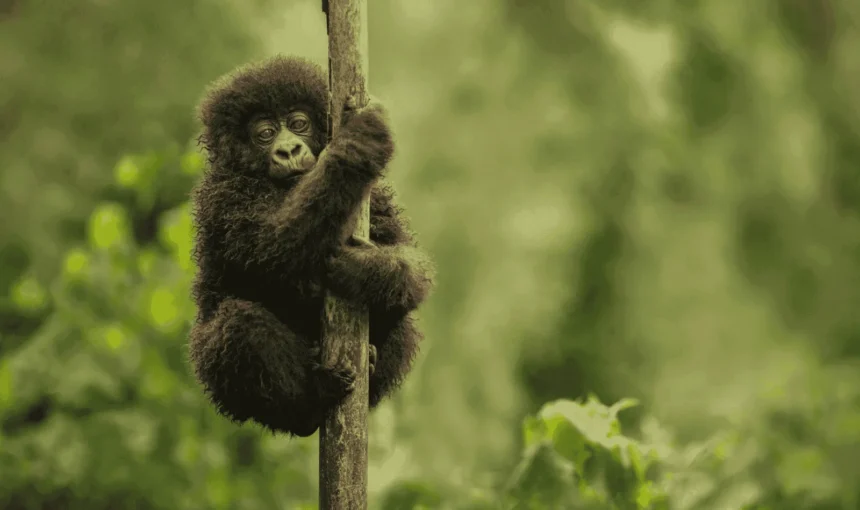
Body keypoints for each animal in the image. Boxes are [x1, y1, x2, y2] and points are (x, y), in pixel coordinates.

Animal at [187, 55, 434, 437]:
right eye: (265, 133)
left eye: (298, 123)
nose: (288, 149)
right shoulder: (223, 198)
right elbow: (274, 249)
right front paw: (357, 145)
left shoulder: (376, 197)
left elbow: (412, 263)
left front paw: (366, 270)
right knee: (237, 324)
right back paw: (311, 401)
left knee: (404, 318)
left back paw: (371, 360)